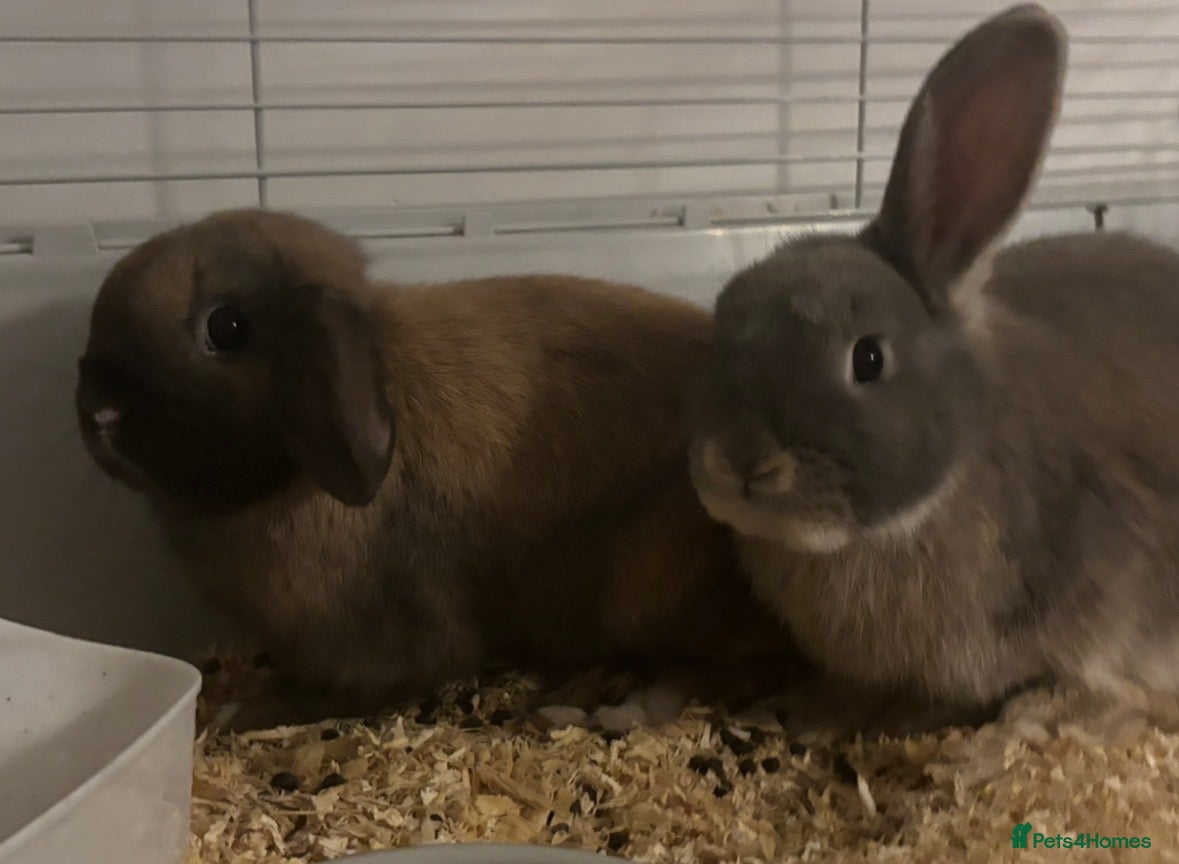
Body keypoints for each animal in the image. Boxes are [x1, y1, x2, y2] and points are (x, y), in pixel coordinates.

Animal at [74, 207, 806, 730]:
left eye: (226, 328)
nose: (97, 412)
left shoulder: (379, 643)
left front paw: (242, 710)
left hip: (645, 582)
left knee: (728, 668)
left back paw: (611, 705)